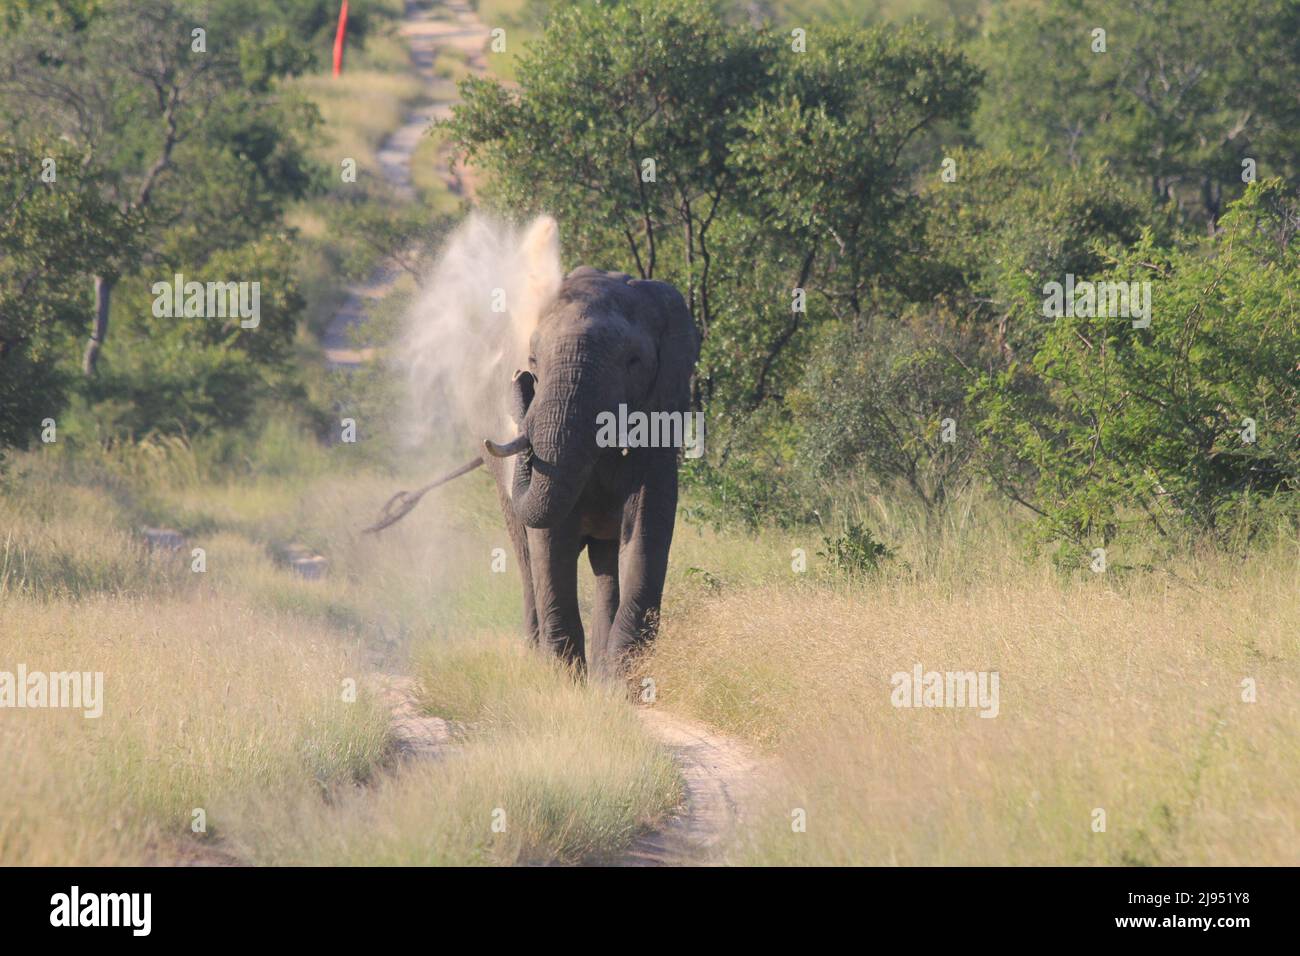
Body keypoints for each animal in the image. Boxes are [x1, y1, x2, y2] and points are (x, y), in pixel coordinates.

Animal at [478, 261, 702, 681]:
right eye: (534, 360)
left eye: (633, 361)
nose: (521, 379)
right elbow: (548, 540)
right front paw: (564, 680)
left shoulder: (660, 421)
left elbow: (645, 532)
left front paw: (621, 683)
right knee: (526, 556)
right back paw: (538, 657)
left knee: (607, 562)